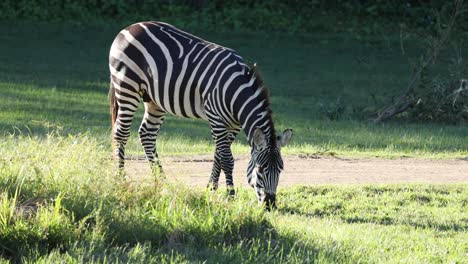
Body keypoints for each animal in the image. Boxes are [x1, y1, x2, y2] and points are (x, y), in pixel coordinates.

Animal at [109, 21, 292, 209]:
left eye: (281, 169)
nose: (270, 205)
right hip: (127, 86)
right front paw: (230, 196)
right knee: (121, 133)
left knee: (147, 134)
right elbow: (227, 159)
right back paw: (120, 180)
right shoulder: (215, 118)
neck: (236, 92)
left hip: (154, 100)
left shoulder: (233, 125)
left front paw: (210, 189)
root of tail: (129, 28)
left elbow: (218, 155)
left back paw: (162, 183)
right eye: (260, 169)